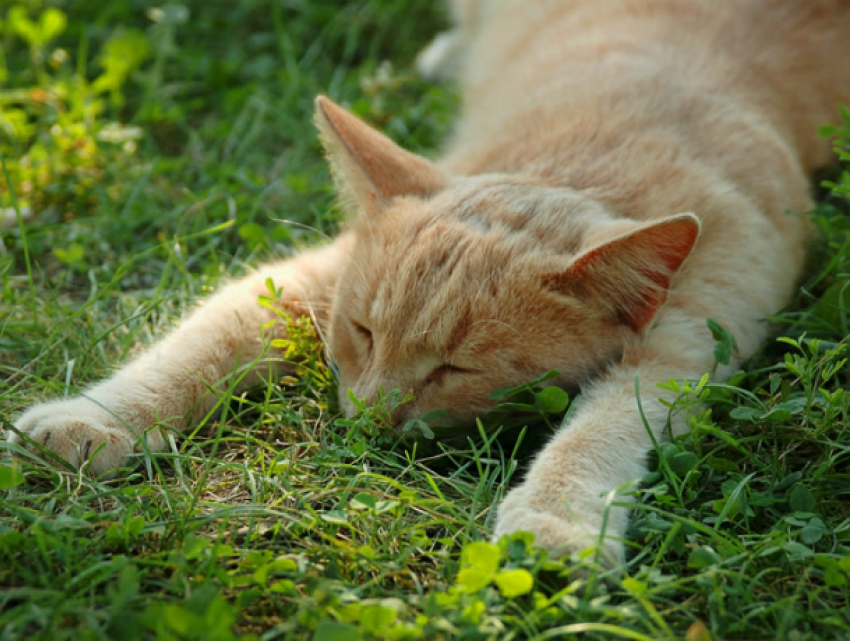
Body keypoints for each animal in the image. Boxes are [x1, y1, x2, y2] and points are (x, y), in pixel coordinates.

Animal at [8, 0, 848, 564]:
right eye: (363, 333)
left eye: (453, 368)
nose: (368, 419)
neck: (593, 155)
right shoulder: (301, 281)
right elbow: (192, 348)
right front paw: (93, 419)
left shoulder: (687, 341)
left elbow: (601, 430)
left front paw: (555, 524)